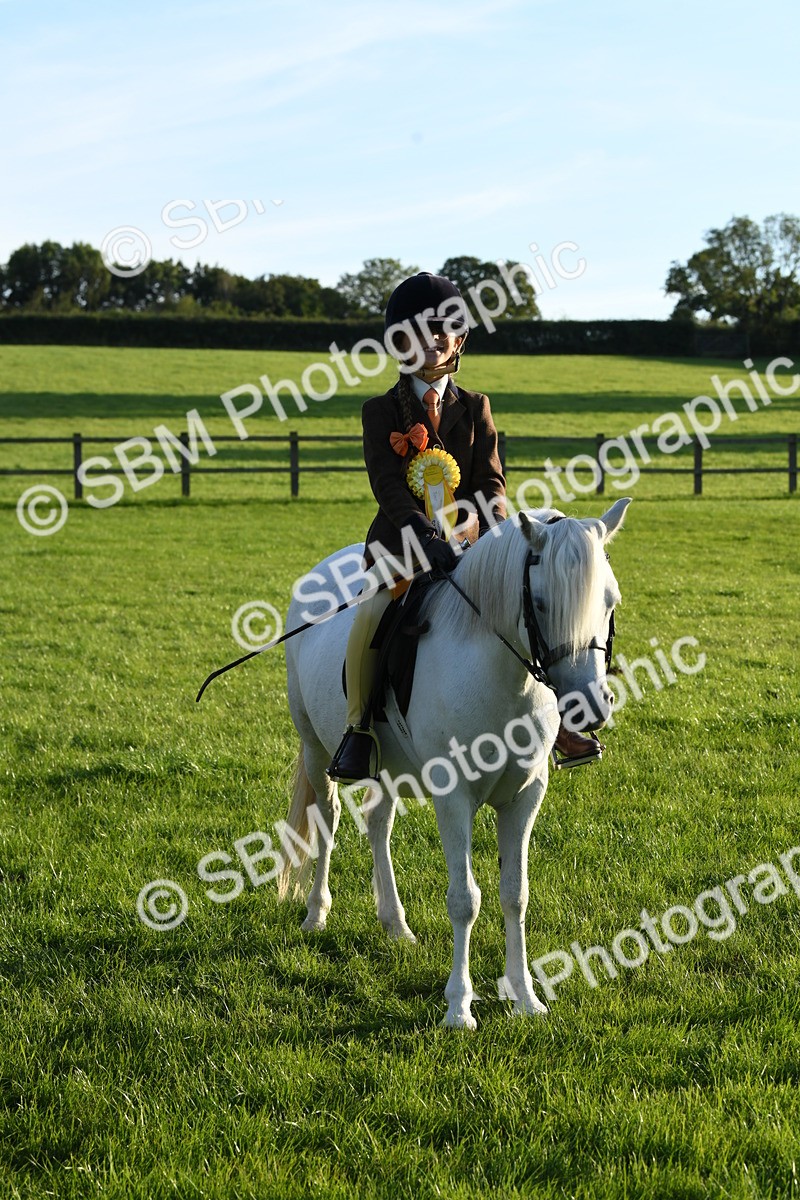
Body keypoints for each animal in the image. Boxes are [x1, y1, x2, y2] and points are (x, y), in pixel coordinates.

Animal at [277, 499, 630, 1029]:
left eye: (611, 601)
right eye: (541, 603)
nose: (589, 705)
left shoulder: (525, 797)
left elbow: (515, 894)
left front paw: (525, 997)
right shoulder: (454, 795)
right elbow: (465, 899)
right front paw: (459, 1007)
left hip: (388, 767)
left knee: (377, 824)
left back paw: (395, 924)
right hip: (315, 747)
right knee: (328, 819)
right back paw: (316, 914)